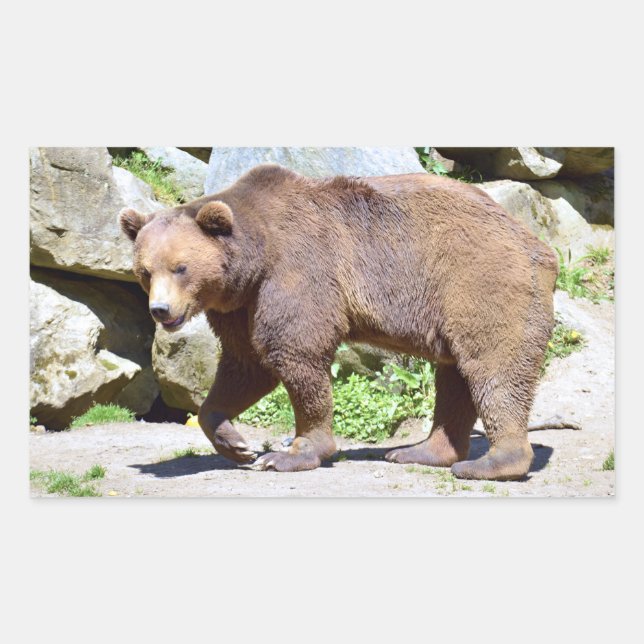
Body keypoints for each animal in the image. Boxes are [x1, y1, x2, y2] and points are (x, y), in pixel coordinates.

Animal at [120, 163, 558, 481]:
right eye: (144, 271)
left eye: (180, 267)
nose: (160, 310)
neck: (253, 260)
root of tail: (537, 243)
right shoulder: (239, 307)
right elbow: (245, 365)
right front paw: (236, 444)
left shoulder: (297, 272)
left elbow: (294, 353)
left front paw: (289, 453)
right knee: (454, 376)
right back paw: (419, 451)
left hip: (480, 282)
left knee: (493, 367)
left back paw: (491, 463)